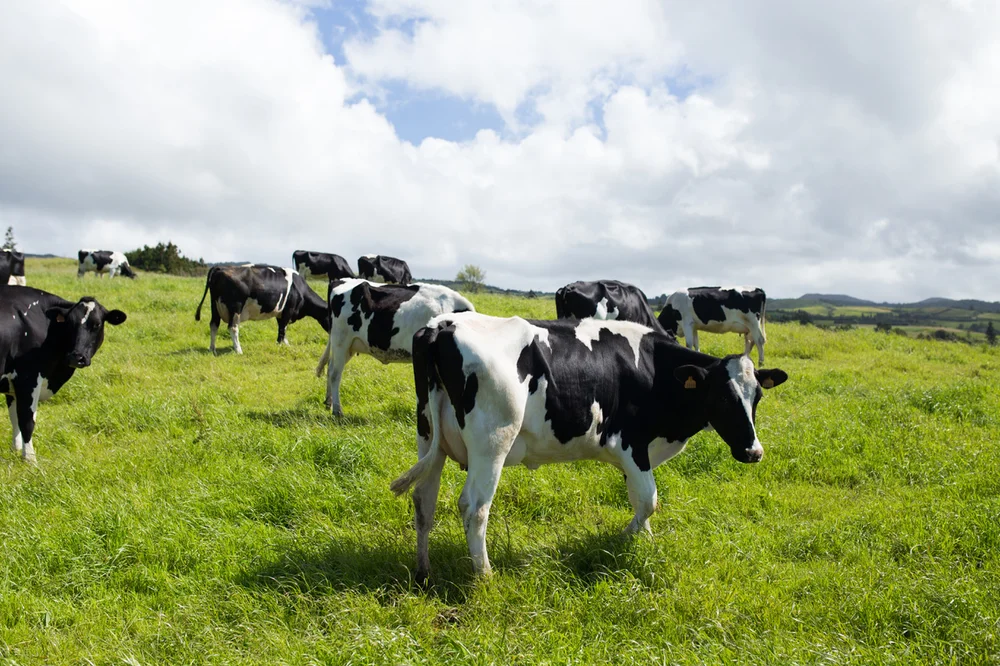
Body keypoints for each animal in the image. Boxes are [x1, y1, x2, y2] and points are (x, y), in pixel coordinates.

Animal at [0, 286, 126, 463]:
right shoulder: (28, 377)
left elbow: (14, 419)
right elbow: (26, 420)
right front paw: (30, 459)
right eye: (70, 324)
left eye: (96, 324)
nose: (76, 357)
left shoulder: (11, 384)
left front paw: (16, 450)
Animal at [194, 264, 329, 354]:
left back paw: (212, 349)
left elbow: (282, 328)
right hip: (236, 306)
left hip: (214, 306)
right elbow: (283, 328)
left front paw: (285, 344)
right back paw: (238, 350)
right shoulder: (288, 310)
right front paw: (280, 345)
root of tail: (219, 268)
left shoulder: (280, 312)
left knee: (214, 325)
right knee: (232, 327)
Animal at [315, 279, 474, 416]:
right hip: (341, 341)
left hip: (349, 346)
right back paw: (337, 411)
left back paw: (328, 402)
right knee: (335, 374)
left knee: (330, 368)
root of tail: (341, 280)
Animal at [390, 312, 788, 582]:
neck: (653, 369)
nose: (754, 452)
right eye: (721, 397)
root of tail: (441, 325)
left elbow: (638, 500)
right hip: (492, 443)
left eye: (757, 397)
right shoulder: (632, 444)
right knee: (474, 508)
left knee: (424, 501)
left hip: (430, 437)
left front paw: (643, 541)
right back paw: (485, 575)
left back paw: (423, 572)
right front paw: (624, 538)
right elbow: (648, 501)